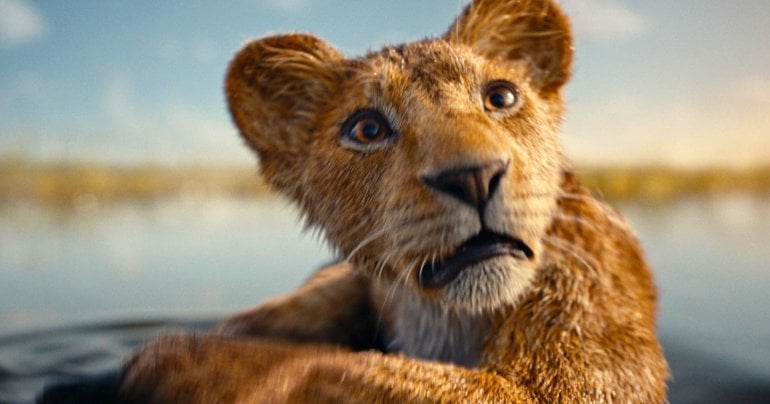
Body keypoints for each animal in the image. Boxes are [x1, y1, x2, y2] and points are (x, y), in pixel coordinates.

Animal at [46, 0, 670, 402]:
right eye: (367, 129)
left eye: (501, 97)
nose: (474, 176)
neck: (442, 318)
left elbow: (341, 370)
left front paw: (185, 361)